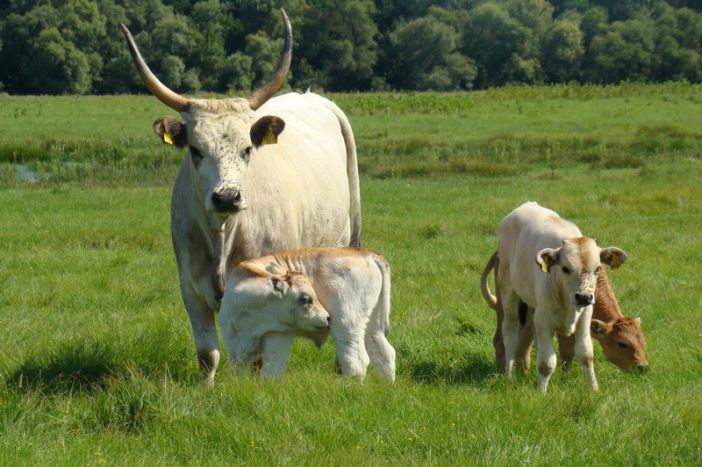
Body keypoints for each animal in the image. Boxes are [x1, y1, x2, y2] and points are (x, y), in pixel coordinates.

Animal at [121, 9, 364, 386]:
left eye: (247, 148)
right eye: (195, 150)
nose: (227, 197)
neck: (223, 237)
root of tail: (313, 97)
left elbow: (259, 355)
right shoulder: (190, 286)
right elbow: (208, 352)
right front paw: (207, 389)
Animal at [220, 247, 396, 382]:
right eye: (305, 299)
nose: (327, 317)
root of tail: (366, 253)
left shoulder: (278, 336)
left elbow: (272, 370)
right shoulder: (234, 346)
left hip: (347, 325)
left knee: (356, 361)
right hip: (372, 326)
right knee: (384, 355)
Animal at [490, 203, 628, 394]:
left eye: (597, 268)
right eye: (565, 268)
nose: (584, 297)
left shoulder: (585, 315)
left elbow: (586, 354)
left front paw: (593, 388)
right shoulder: (543, 319)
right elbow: (547, 363)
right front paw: (541, 392)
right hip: (508, 290)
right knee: (510, 330)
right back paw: (509, 375)